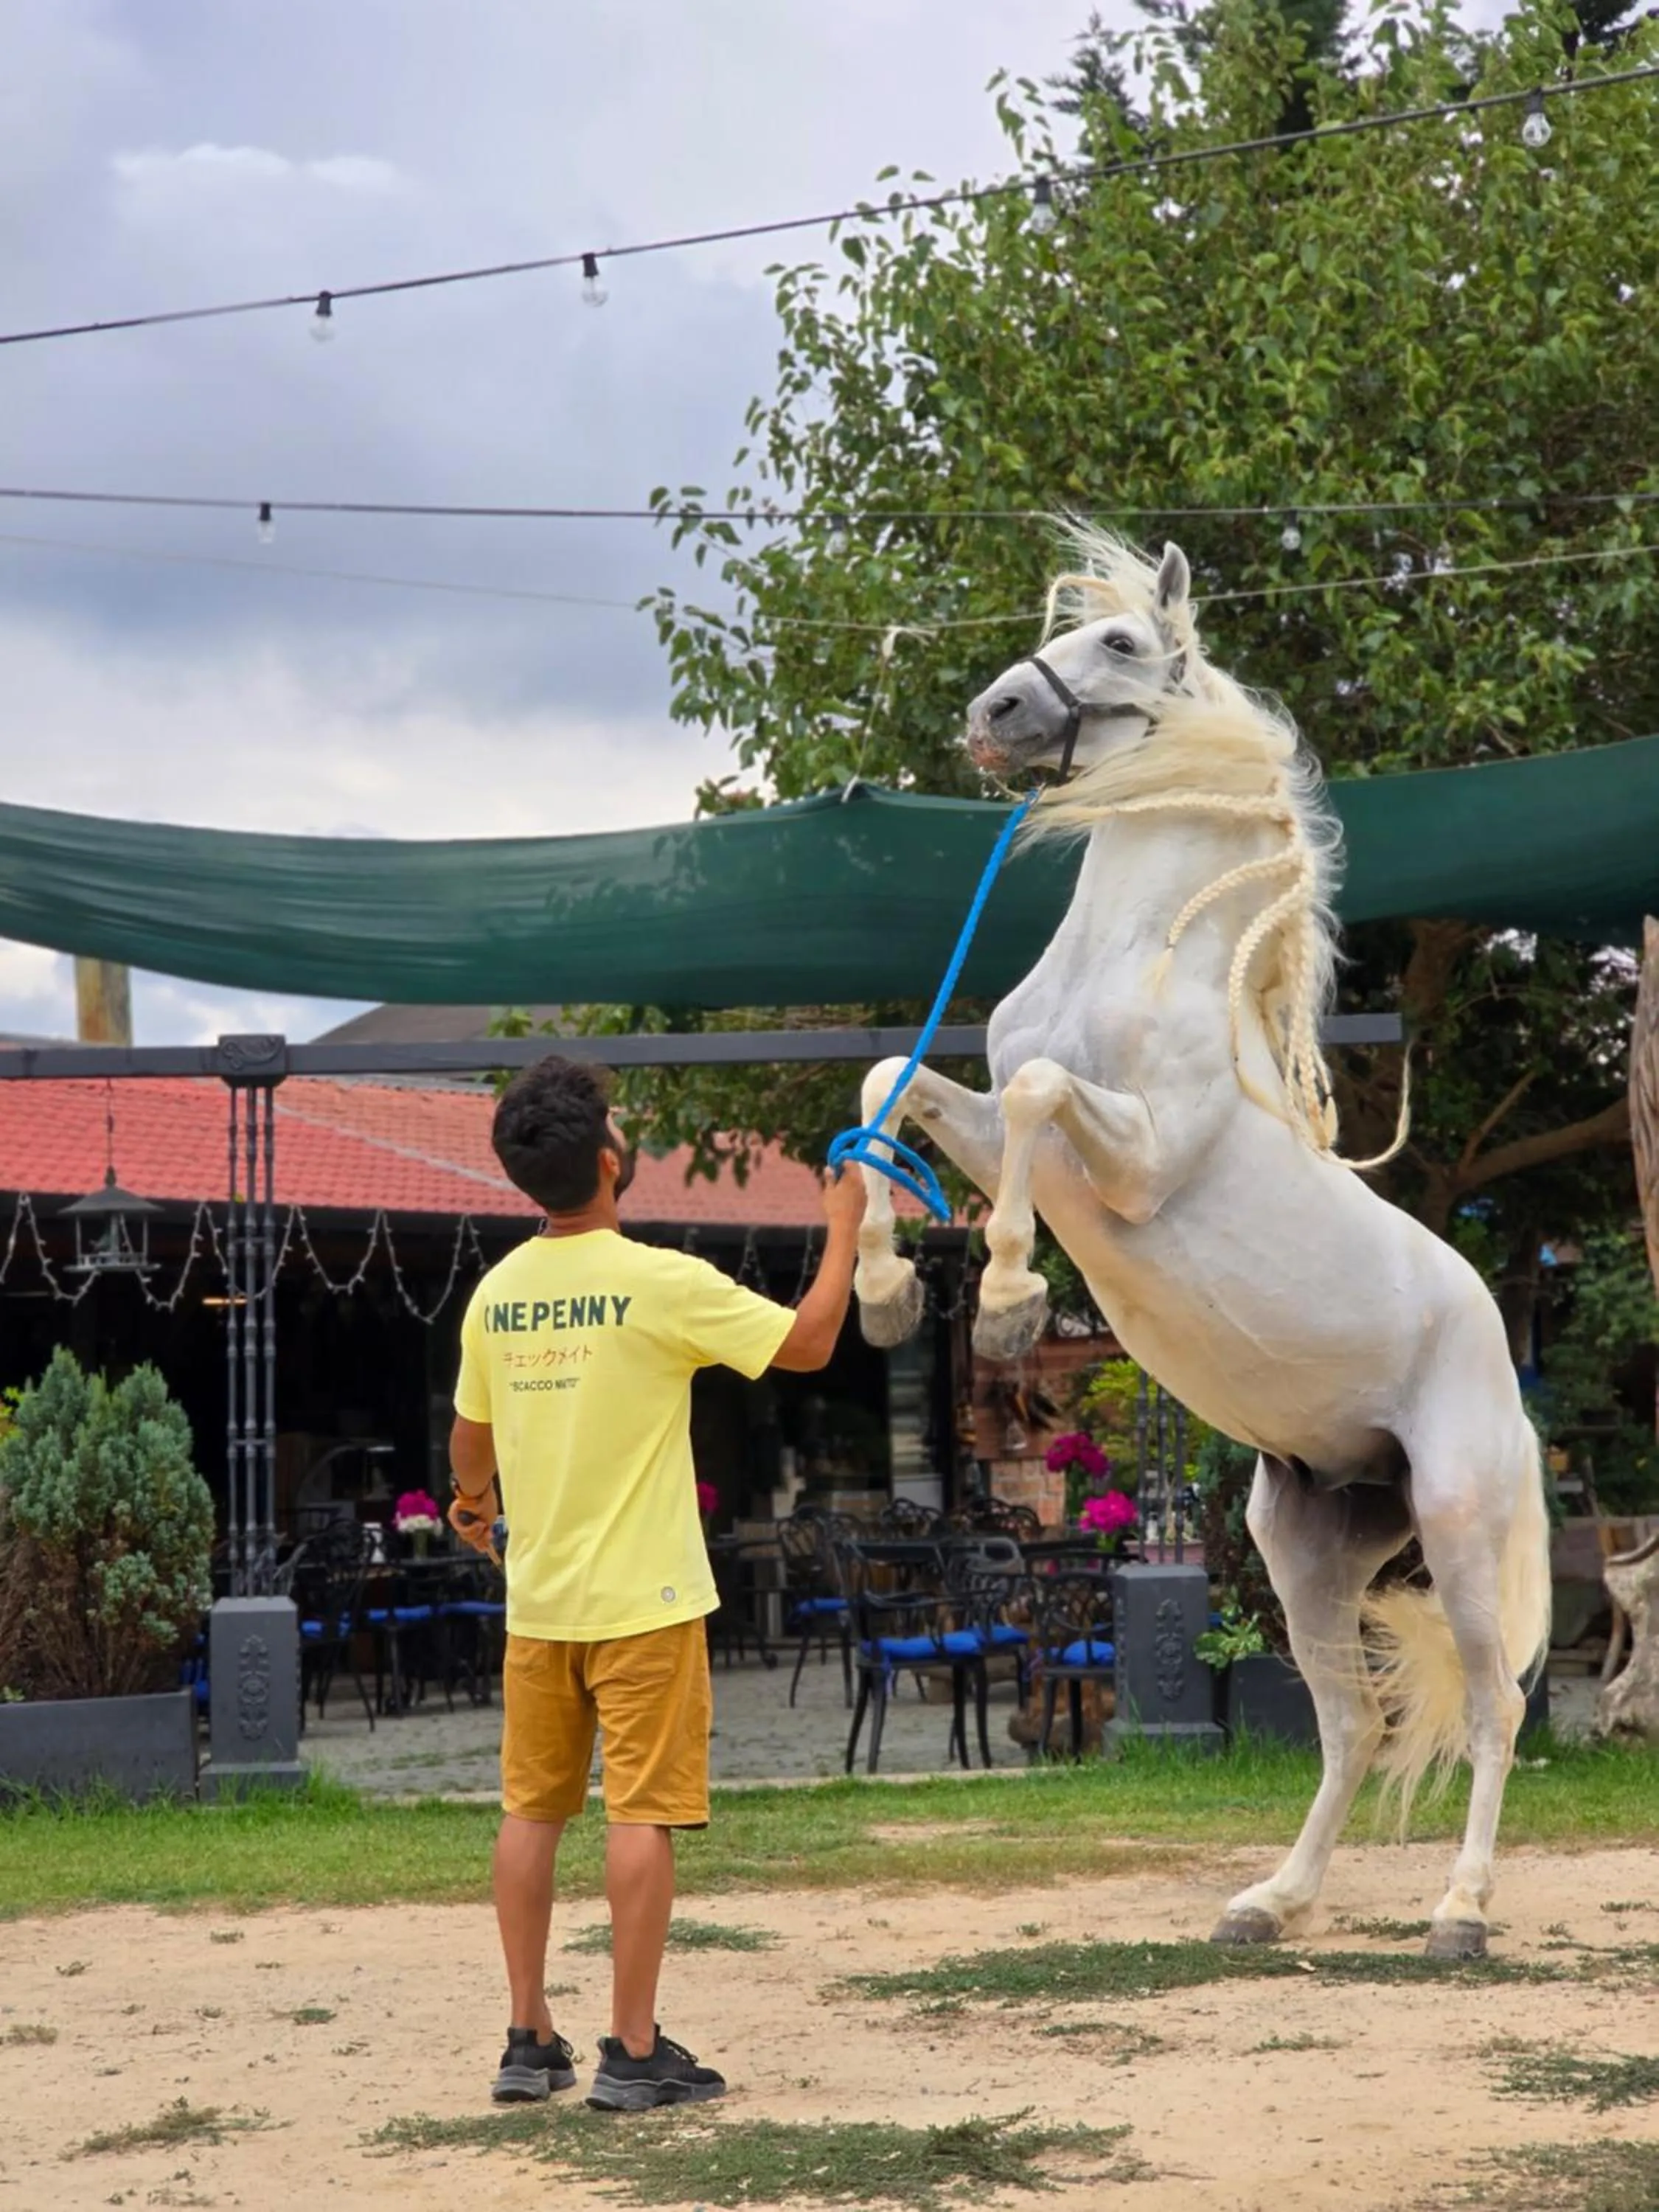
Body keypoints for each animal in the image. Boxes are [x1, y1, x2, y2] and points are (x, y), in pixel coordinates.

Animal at [852, 533, 1550, 1959]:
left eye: (1121, 644)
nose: (992, 714)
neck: (1135, 964)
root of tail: (1504, 1373)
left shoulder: (1133, 1160)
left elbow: (1039, 1093)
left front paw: (1005, 1302)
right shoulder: (991, 1123)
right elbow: (894, 1079)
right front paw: (887, 1292)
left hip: (1458, 1524)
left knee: (1492, 1707)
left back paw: (1458, 1913)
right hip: (1302, 1551)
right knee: (1350, 1727)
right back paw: (1270, 1903)